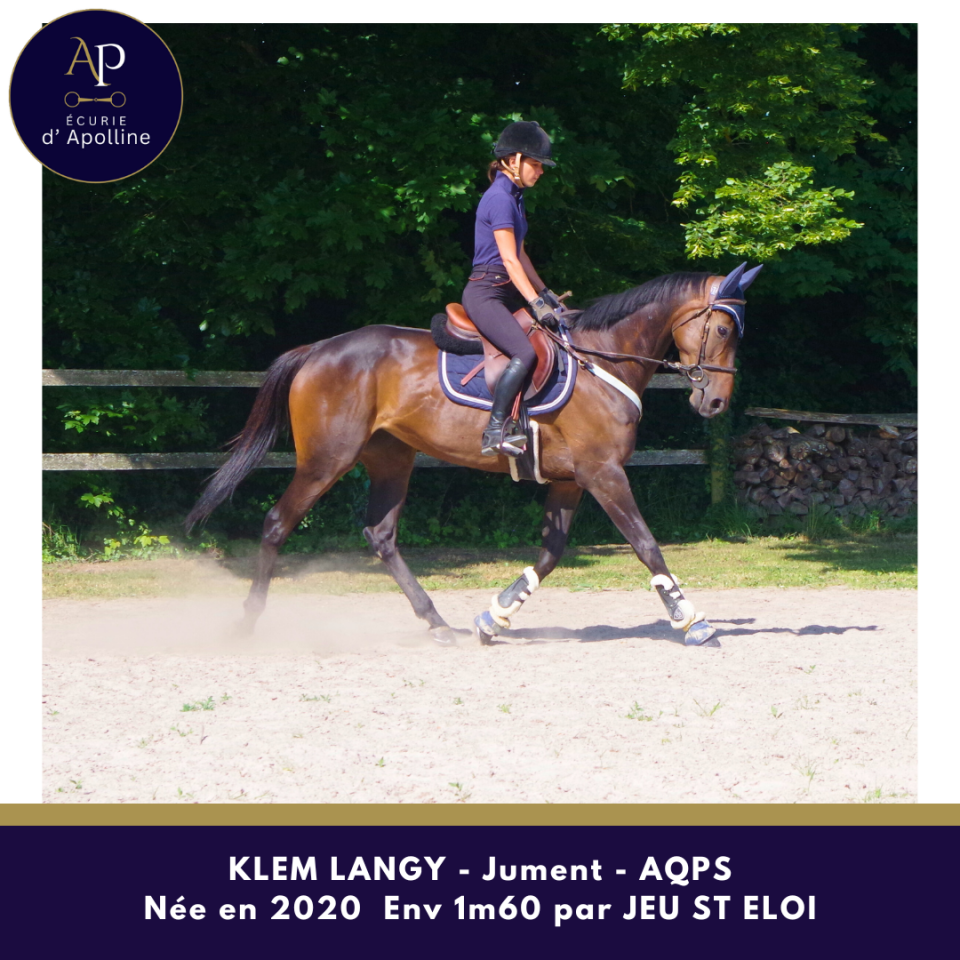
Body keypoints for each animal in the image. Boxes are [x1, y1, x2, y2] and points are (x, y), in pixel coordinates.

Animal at [186, 262, 762, 648]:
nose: (714, 403)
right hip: (326, 460)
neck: (602, 361)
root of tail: (319, 349)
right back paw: (247, 621)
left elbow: (550, 554)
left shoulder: (571, 479)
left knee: (381, 534)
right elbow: (647, 546)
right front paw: (692, 621)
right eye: (723, 329)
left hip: (391, 458)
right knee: (278, 522)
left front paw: (495, 617)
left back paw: (438, 623)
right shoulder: (604, 474)